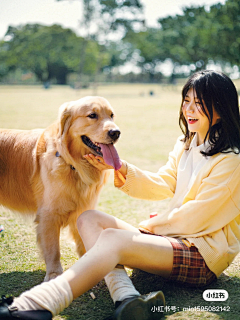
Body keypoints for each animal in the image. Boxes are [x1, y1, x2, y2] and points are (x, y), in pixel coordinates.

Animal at [0, 97, 121, 280]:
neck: (72, 164)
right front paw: (54, 274)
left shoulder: (82, 210)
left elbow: (83, 241)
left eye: (112, 115)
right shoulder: (48, 215)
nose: (116, 132)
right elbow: (53, 248)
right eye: (92, 115)